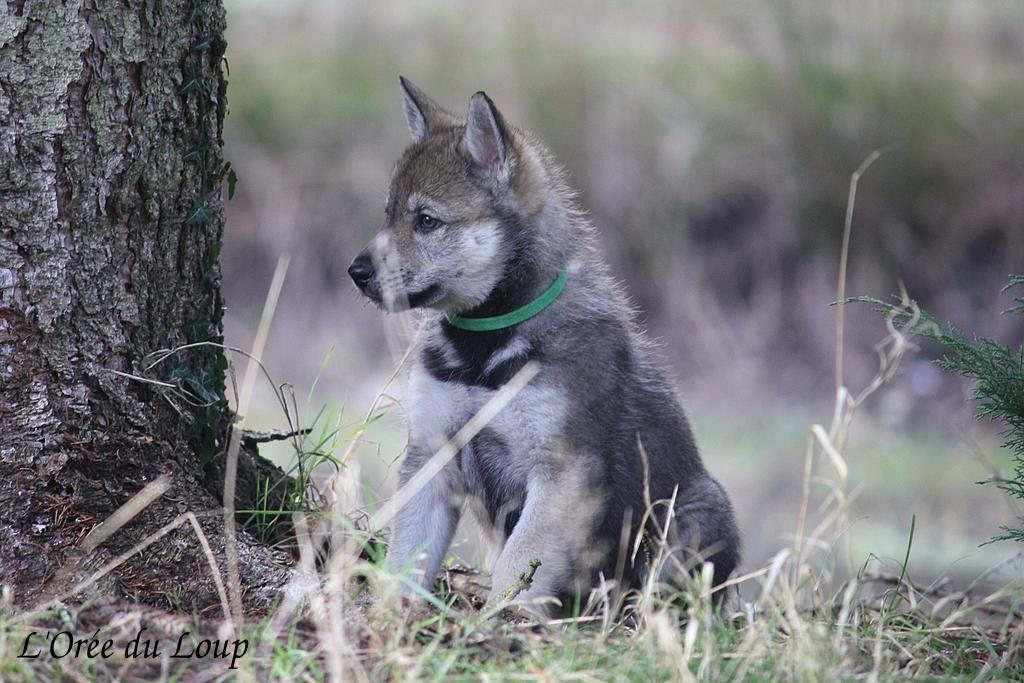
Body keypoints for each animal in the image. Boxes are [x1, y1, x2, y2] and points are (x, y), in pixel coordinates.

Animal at [349, 77, 740, 613]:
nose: (356, 272)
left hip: (692, 512)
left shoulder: (561, 475)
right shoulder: (431, 456)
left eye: (426, 221)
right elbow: (407, 558)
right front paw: (393, 619)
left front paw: (498, 625)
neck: (484, 350)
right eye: (387, 216)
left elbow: (519, 565)